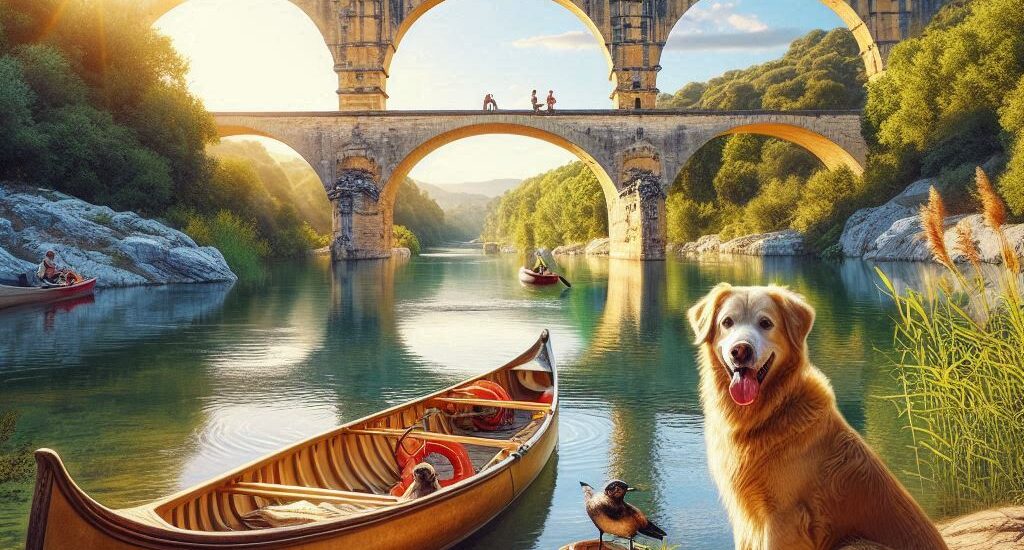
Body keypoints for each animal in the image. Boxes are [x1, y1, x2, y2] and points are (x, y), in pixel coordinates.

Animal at [684, 284, 946, 544]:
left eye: (765, 323)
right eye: (727, 322)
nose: (740, 351)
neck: (773, 410)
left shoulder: (783, 517)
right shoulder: (746, 521)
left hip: (853, 543)